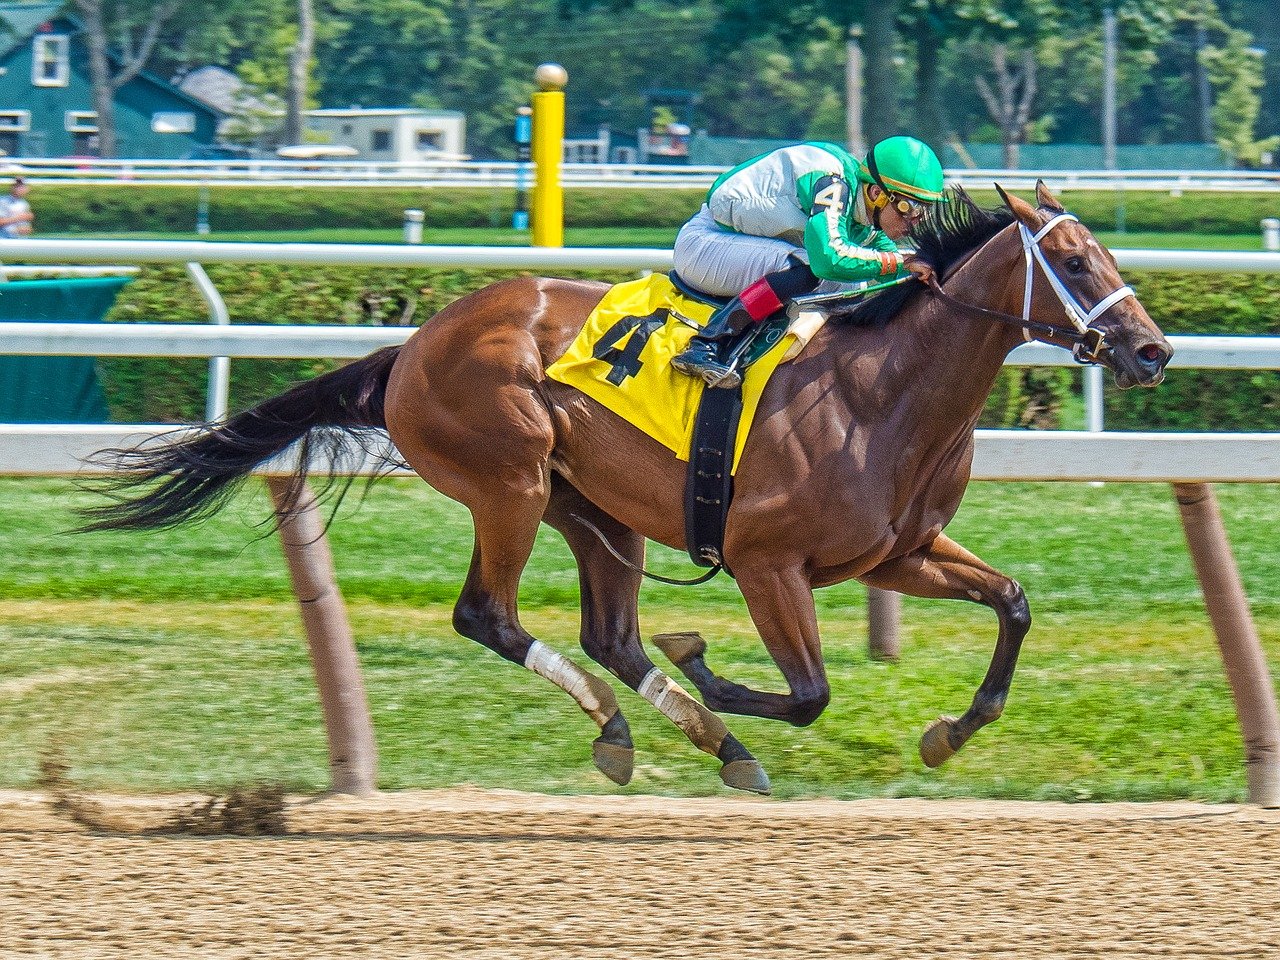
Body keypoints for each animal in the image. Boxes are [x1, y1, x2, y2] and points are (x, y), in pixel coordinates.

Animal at [81, 182, 1171, 795]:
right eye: (1073, 260)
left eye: (1104, 254)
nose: (1153, 351)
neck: (883, 390)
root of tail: (411, 347)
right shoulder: (765, 561)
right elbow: (808, 693)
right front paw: (709, 665)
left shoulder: (895, 553)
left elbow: (1013, 604)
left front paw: (949, 733)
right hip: (511, 482)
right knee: (488, 616)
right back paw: (645, 724)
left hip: (594, 509)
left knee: (608, 634)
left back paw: (686, 739)